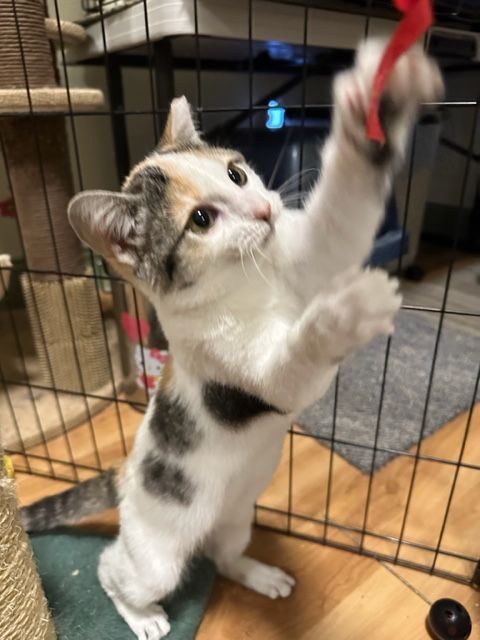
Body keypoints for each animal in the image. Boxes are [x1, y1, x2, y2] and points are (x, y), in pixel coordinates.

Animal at [22, 41, 442, 640]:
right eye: (201, 219)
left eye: (237, 173)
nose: (266, 209)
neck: (249, 281)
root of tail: (124, 474)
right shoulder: (244, 367)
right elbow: (289, 365)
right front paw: (345, 311)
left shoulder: (306, 257)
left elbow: (340, 223)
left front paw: (376, 105)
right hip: (155, 553)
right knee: (114, 569)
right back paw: (143, 615)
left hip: (237, 513)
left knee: (223, 554)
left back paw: (258, 574)